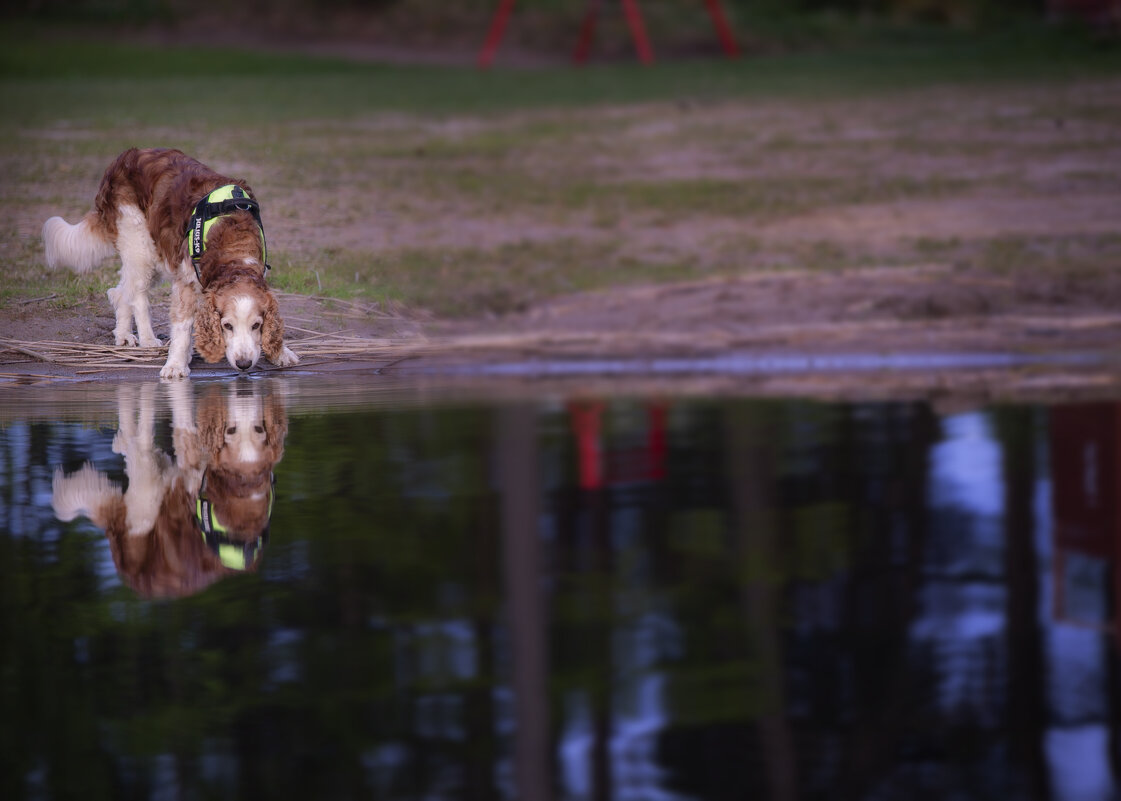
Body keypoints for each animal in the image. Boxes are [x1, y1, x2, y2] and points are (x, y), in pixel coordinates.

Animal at [42, 148, 298, 380]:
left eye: (256, 325)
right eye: (227, 326)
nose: (244, 364)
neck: (234, 251)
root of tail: (123, 158)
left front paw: (280, 352)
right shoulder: (185, 283)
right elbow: (182, 328)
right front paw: (176, 365)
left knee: (120, 289)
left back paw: (123, 335)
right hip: (140, 245)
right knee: (138, 296)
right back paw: (147, 339)